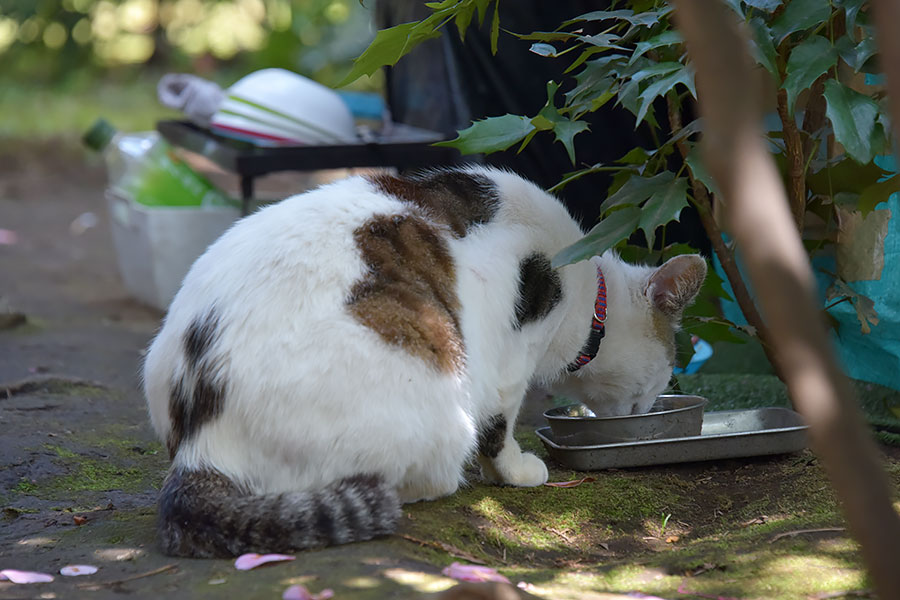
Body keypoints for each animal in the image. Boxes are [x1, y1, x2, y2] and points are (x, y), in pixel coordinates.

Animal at [141, 165, 708, 556]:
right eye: (666, 375)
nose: (647, 411)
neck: (587, 289)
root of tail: (200, 446)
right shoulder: (510, 361)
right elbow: (500, 425)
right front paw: (514, 470)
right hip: (440, 386)